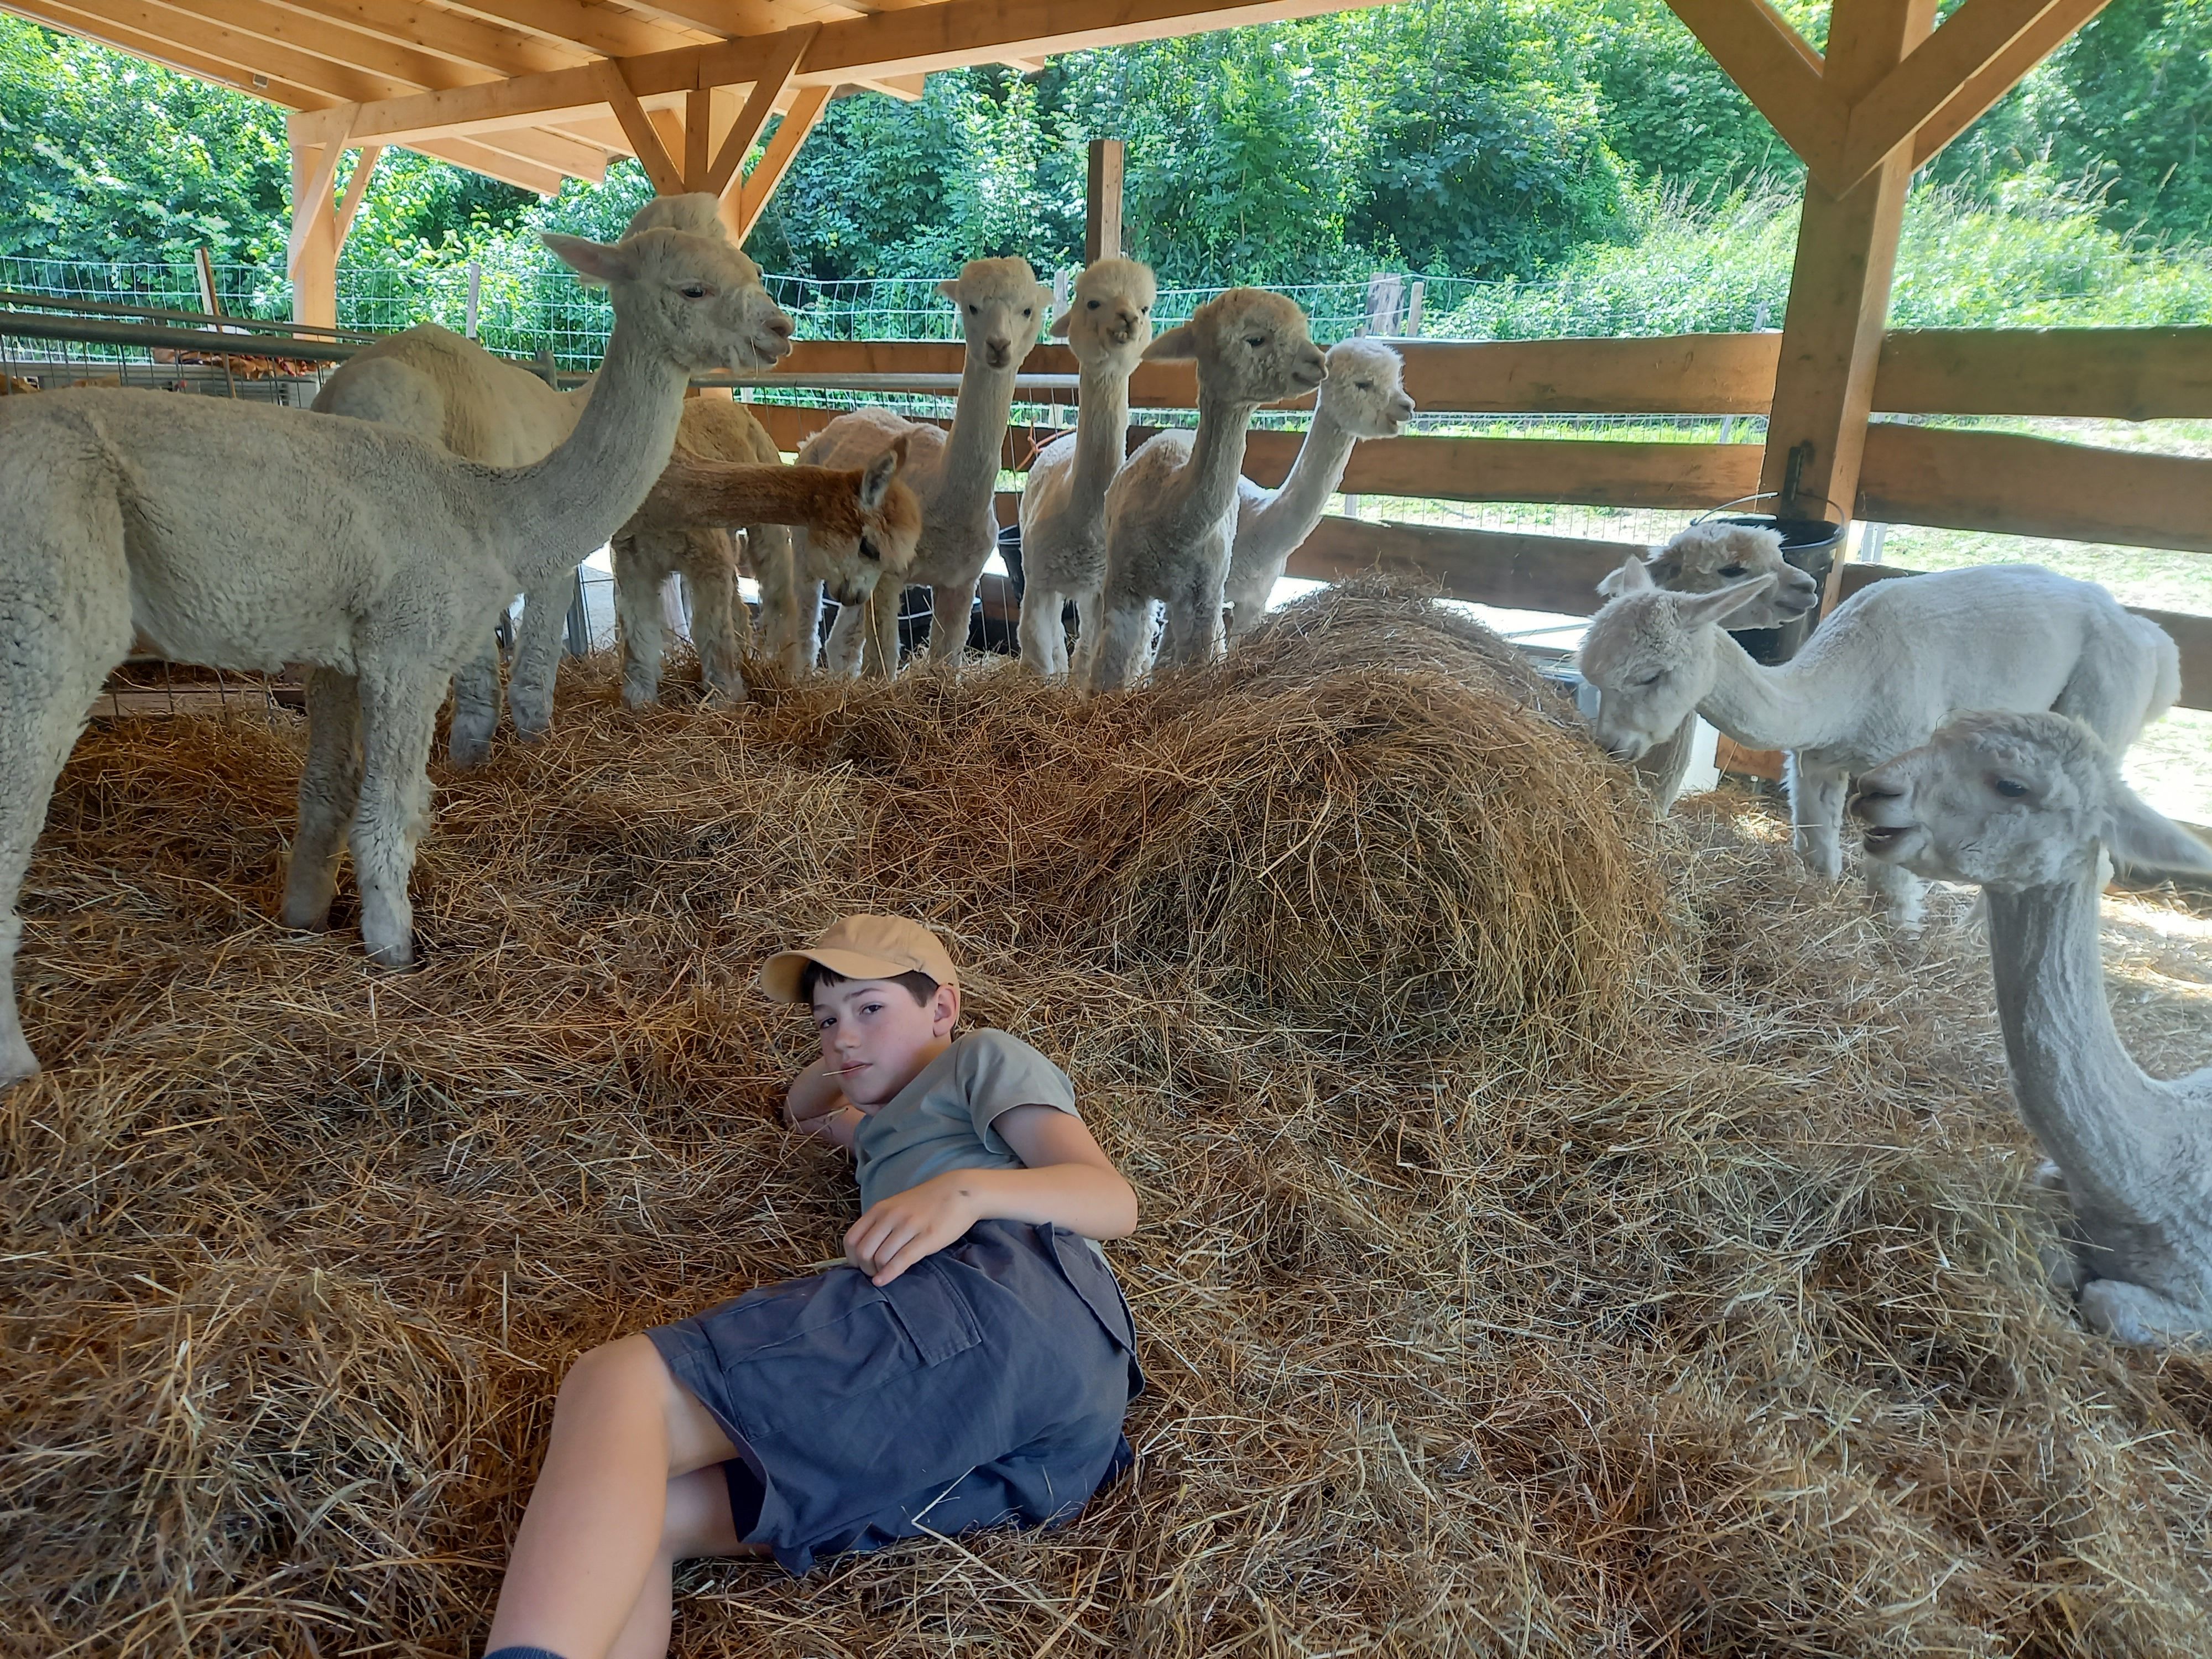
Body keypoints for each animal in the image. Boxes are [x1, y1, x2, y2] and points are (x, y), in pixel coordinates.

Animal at [0, 219, 791, 1087]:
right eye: (693, 288)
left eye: (751, 267)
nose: (781, 330)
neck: (489, 510)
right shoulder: (409, 648)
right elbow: (390, 811)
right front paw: (395, 954)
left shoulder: (337, 654)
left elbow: (324, 792)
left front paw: (303, 921)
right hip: (39, 625)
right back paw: (20, 1071)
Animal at [1853, 710, 2212, 1348]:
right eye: (1937, 734)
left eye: (2012, 785)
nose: (1874, 789)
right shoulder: (2052, 1184)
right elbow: (2053, 1255)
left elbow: (2108, 1302)